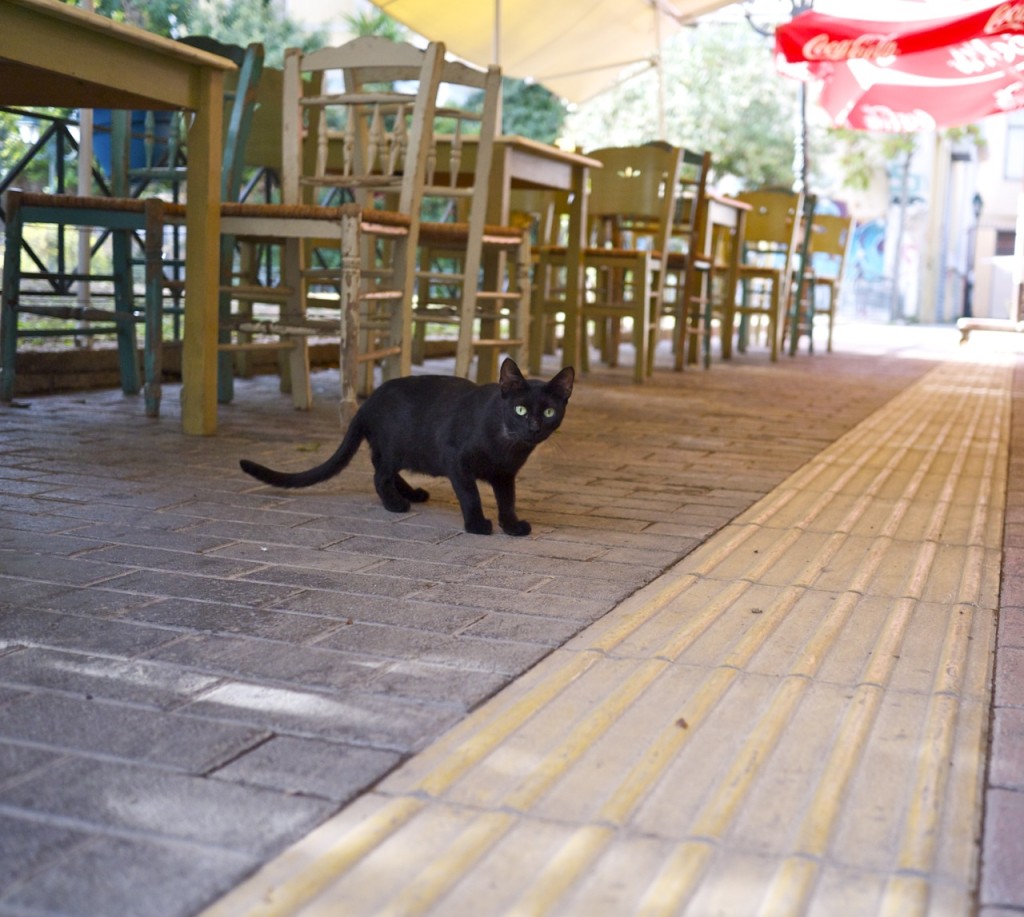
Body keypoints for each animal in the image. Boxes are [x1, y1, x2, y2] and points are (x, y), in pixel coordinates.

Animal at [240, 356, 577, 532]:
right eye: (520, 410)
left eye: (549, 412)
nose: (533, 427)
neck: (506, 444)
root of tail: (368, 400)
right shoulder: (456, 461)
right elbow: (471, 495)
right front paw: (477, 524)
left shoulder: (505, 475)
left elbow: (508, 500)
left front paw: (511, 525)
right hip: (397, 445)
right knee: (379, 475)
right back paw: (395, 503)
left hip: (401, 450)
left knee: (382, 468)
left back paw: (411, 493)